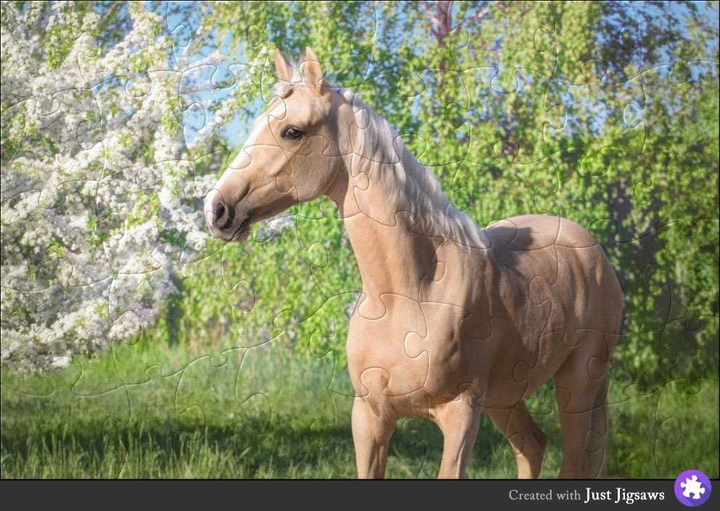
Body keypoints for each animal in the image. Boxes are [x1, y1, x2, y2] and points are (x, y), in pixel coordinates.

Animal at [204, 47, 624, 479]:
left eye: (292, 131)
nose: (217, 209)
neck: (408, 294)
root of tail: (588, 248)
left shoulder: (461, 416)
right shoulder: (369, 417)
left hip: (579, 384)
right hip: (506, 397)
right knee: (532, 446)